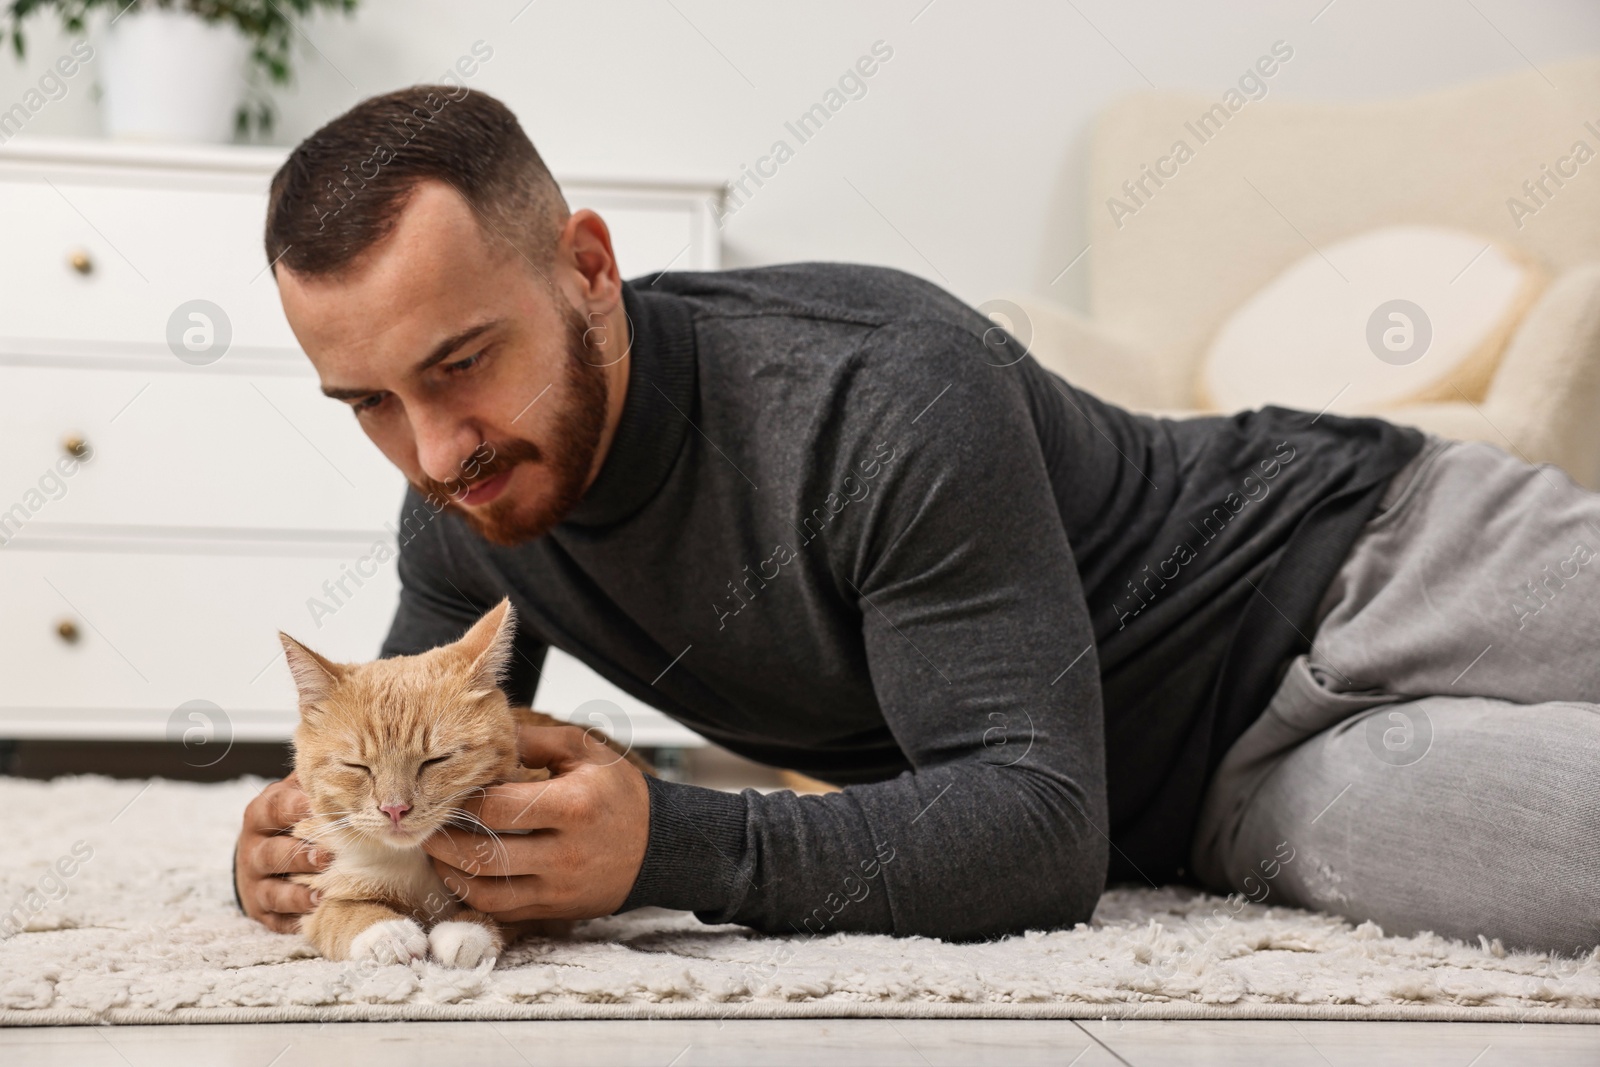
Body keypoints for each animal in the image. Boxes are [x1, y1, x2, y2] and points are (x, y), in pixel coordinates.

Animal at [278, 598, 646, 972]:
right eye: (357, 766)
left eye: (436, 760)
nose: (395, 809)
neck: (415, 858)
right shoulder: (312, 888)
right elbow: (333, 912)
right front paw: (385, 933)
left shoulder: (543, 907)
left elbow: (506, 910)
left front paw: (467, 931)